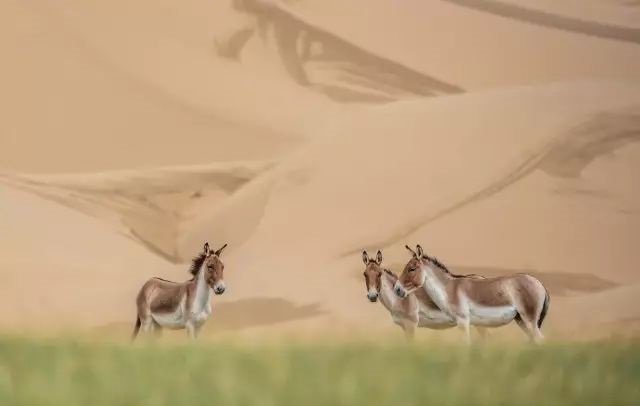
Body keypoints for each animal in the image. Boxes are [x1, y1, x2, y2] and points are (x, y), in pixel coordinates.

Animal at [394, 245, 549, 344]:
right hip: (521, 320)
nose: (397, 289)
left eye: (412, 269)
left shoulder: (463, 321)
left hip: (530, 320)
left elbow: (466, 346)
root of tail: (540, 284)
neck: (449, 289)